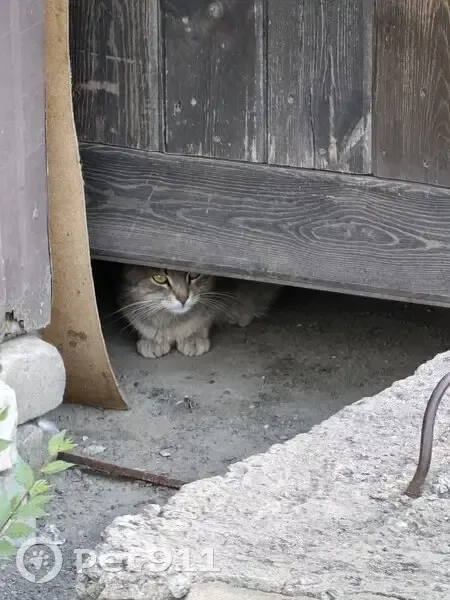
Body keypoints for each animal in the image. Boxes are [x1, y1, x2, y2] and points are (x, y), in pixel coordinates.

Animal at [118, 265, 281, 358]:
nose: (183, 298)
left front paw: (194, 337)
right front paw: (150, 339)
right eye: (159, 278)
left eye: (194, 274)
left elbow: (203, 319)